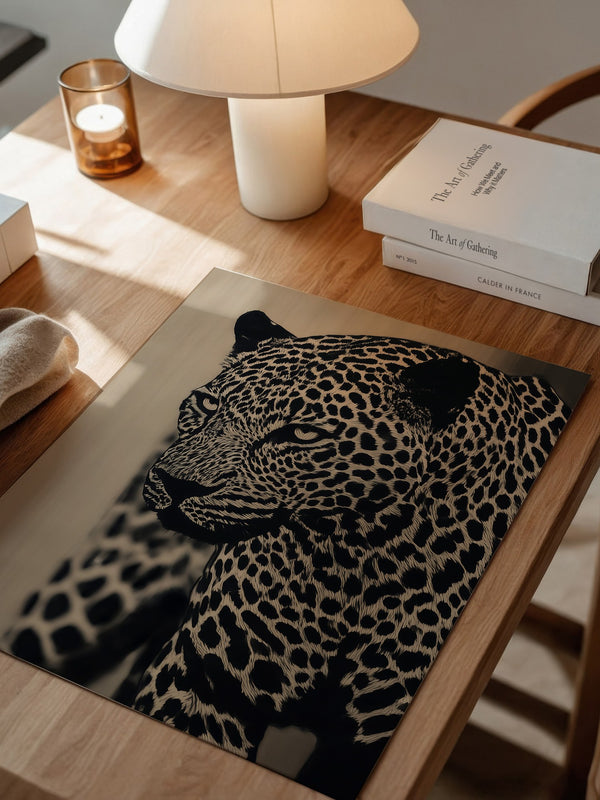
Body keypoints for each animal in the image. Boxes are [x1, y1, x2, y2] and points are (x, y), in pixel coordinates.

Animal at [133, 309, 571, 800]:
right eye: (209, 406)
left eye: (301, 433)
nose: (175, 485)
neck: (348, 558)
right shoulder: (204, 680)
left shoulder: (365, 740)